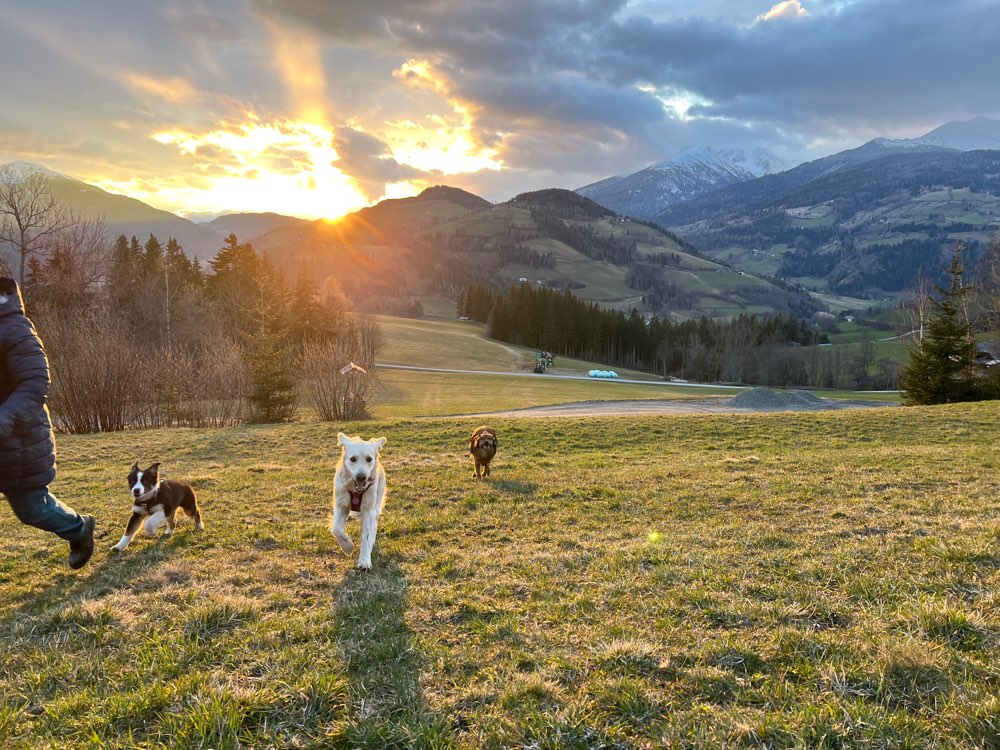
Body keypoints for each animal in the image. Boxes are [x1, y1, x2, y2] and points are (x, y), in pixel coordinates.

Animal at [332, 434, 386, 568]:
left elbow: (366, 537)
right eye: (353, 459)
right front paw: (348, 547)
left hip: (376, 505)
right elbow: (336, 529)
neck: (355, 490)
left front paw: (365, 561)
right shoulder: (341, 505)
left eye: (369, 459)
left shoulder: (369, 510)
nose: (361, 477)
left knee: (373, 527)